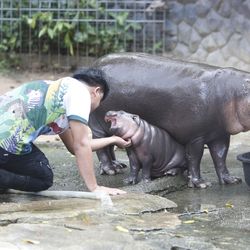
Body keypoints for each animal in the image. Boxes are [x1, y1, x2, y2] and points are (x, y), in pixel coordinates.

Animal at [89, 52, 249, 188]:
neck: (232, 91)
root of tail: (94, 64)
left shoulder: (220, 134)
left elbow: (220, 157)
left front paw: (231, 180)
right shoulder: (195, 137)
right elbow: (195, 159)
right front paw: (200, 183)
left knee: (109, 144)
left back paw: (118, 166)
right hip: (97, 124)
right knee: (101, 146)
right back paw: (111, 170)